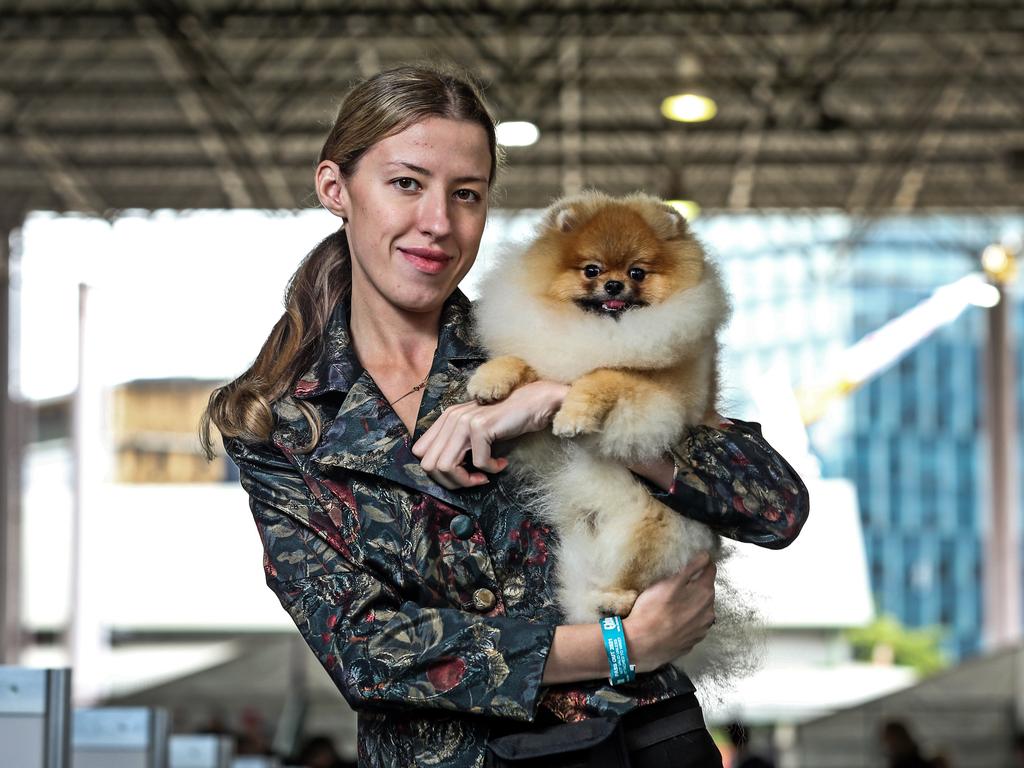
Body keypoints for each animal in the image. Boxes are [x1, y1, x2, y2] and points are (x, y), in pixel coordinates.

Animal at [468, 192, 753, 692]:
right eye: (592, 270)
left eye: (638, 272)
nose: (615, 285)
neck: (603, 332)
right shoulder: (550, 360)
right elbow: (523, 362)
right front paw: (490, 380)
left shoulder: (665, 395)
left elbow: (605, 375)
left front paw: (574, 414)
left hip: (649, 529)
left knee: (633, 584)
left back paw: (614, 601)